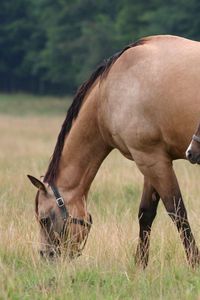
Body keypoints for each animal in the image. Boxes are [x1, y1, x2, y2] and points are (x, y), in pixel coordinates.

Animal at [28, 34, 200, 268]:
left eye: (45, 220)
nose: (48, 257)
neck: (109, 93)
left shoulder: (151, 159)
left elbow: (177, 212)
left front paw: (194, 262)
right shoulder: (151, 158)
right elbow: (146, 213)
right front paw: (140, 265)